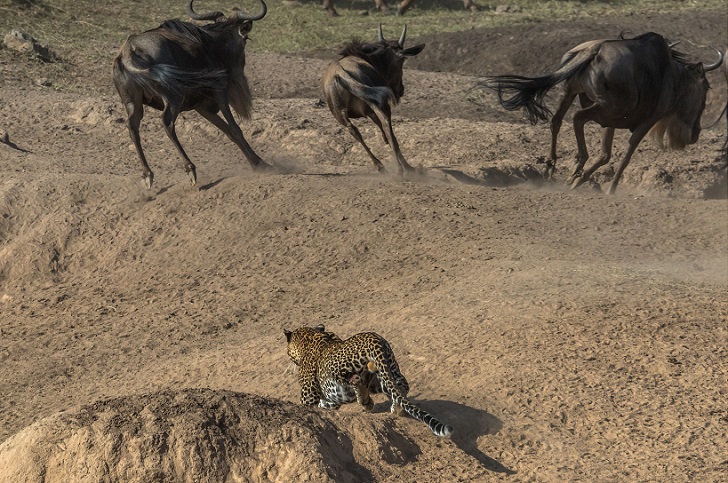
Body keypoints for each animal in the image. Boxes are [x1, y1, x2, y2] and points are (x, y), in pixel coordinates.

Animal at [282, 326, 452, 438]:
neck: (312, 337)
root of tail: (373, 338)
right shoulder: (330, 401)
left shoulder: (309, 394)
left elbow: (306, 405)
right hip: (387, 371)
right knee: (400, 386)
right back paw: (391, 406)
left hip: (339, 368)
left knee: (354, 379)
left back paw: (366, 401)